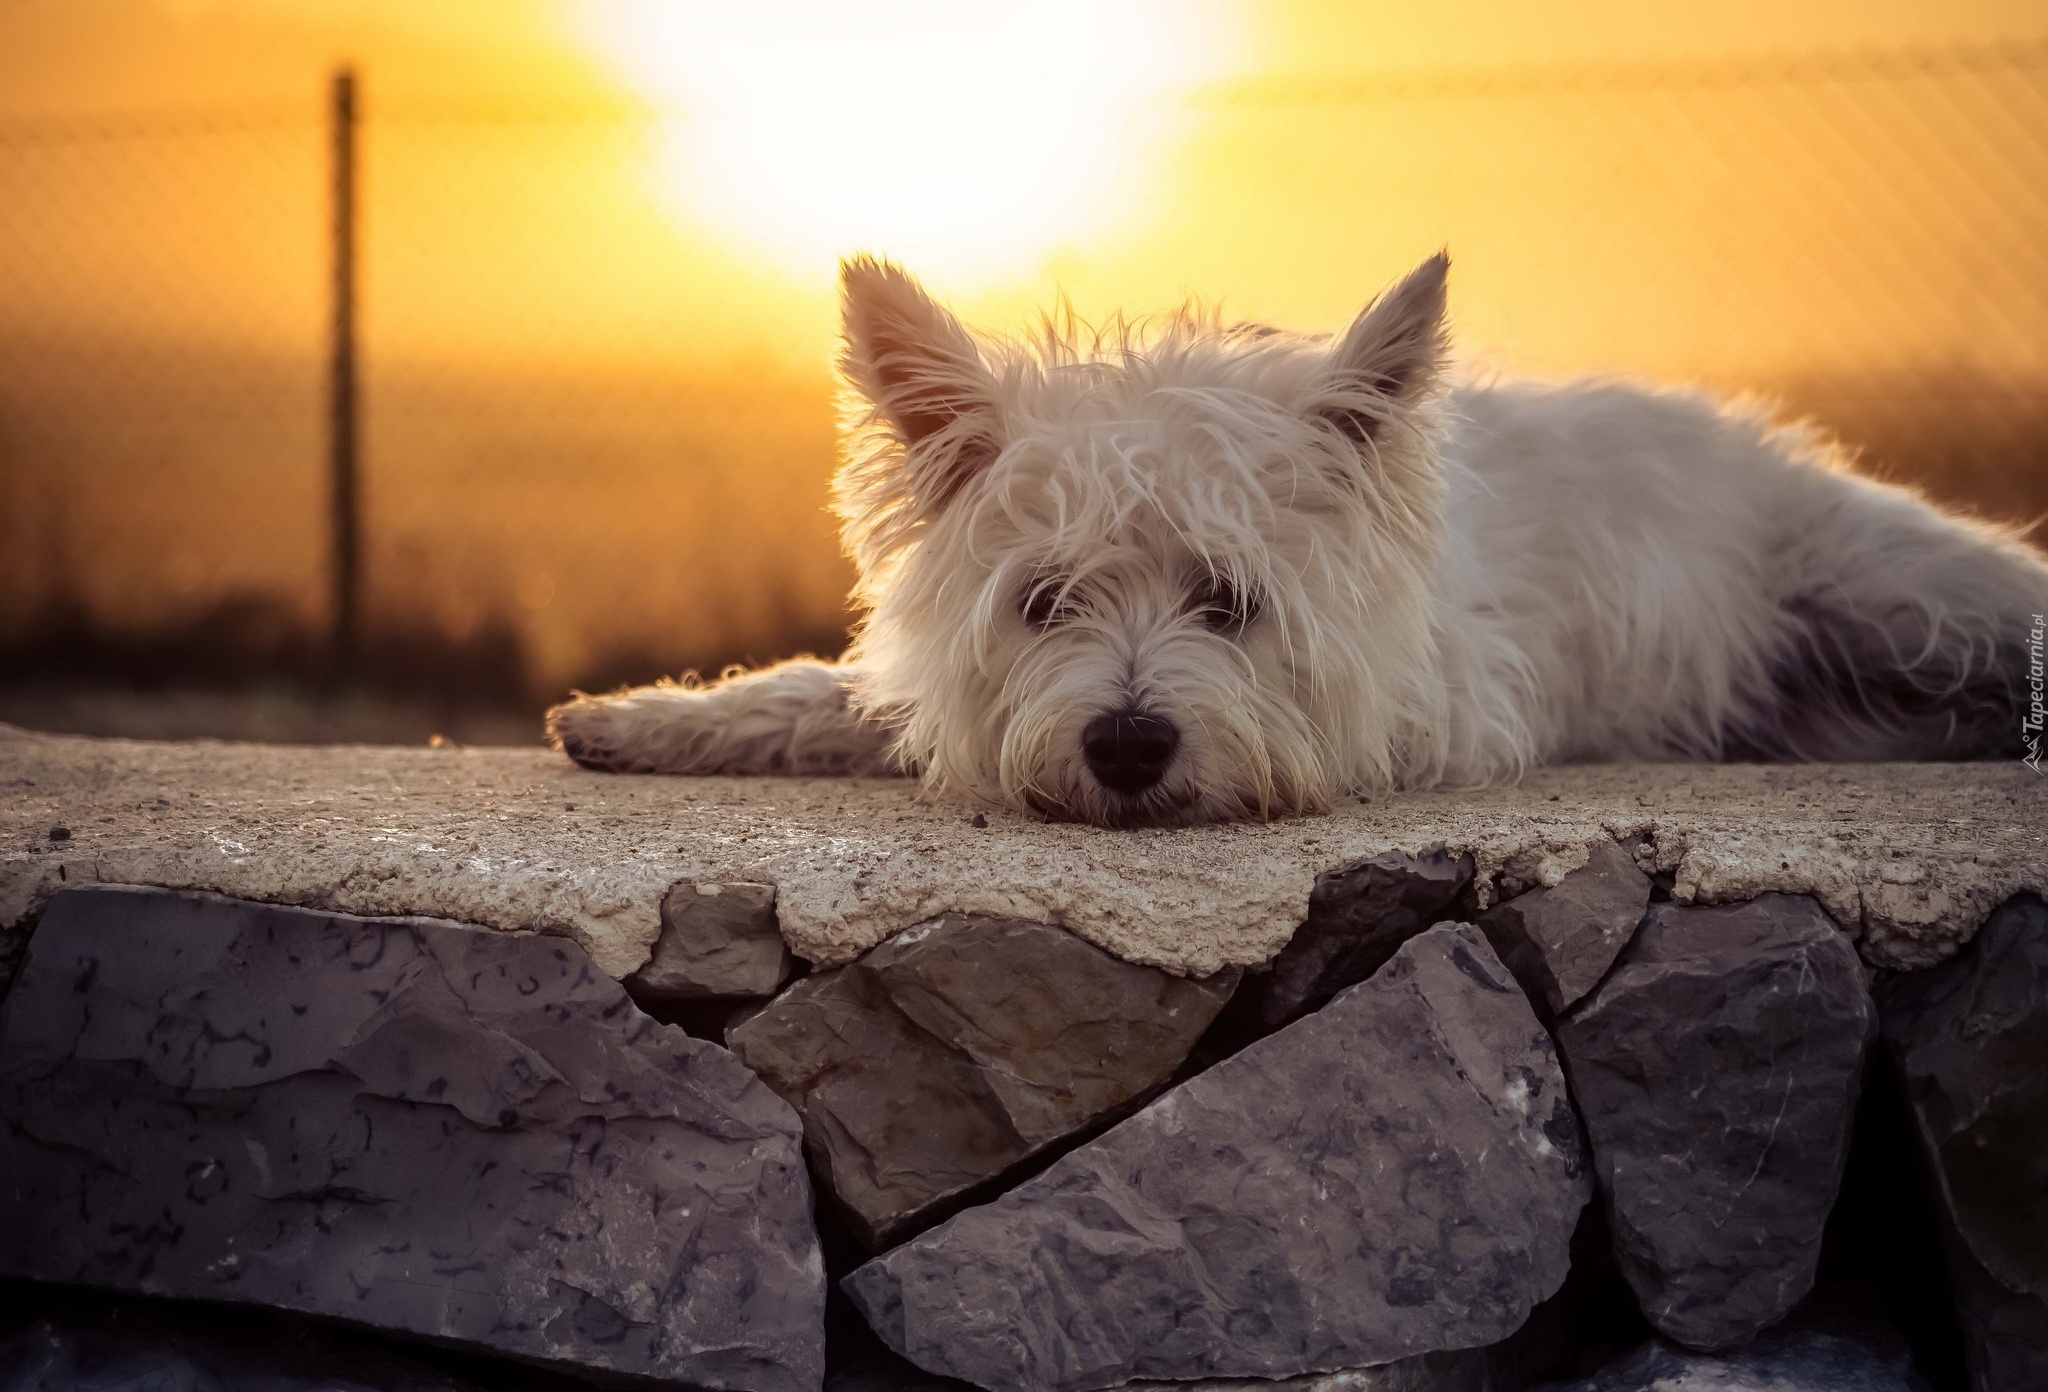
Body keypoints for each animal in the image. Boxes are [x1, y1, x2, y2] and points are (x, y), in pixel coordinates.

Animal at [548, 255, 2048, 827]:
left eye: (1231, 600)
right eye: (1045, 600)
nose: (1129, 746)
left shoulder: (1452, 696)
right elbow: (839, 696)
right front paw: (648, 720)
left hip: (1900, 585)